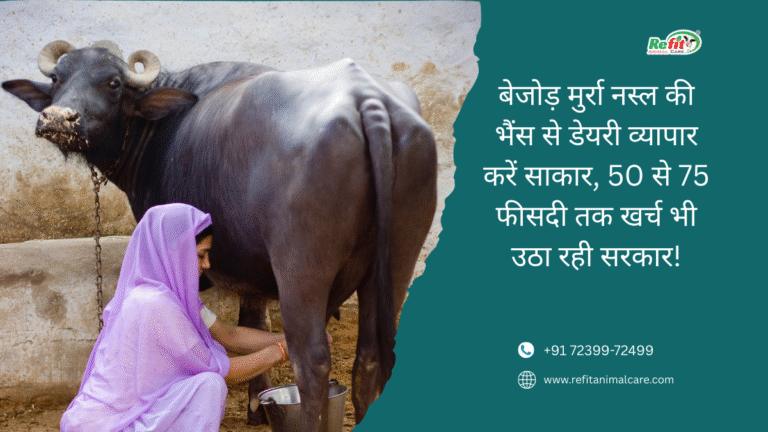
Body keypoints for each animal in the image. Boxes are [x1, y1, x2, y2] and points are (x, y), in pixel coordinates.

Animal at [2, 40, 437, 431]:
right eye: (57, 78)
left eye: (112, 83)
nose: (59, 118)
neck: (157, 132)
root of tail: (367, 100)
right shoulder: (253, 269)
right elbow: (254, 322)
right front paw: (258, 404)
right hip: (396, 260)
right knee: (371, 357)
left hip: (301, 267)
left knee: (312, 362)